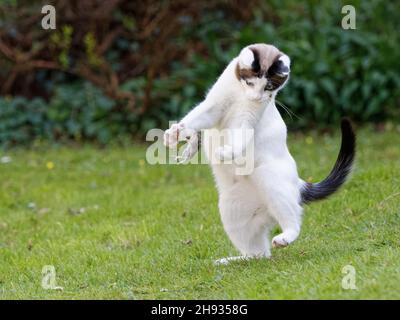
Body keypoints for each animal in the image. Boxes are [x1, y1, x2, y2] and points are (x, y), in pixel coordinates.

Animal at [164, 43, 354, 266]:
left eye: (269, 87)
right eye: (250, 82)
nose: (255, 97)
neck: (241, 94)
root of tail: (299, 184)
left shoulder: (246, 119)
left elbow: (238, 140)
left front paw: (224, 152)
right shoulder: (213, 107)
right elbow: (193, 119)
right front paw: (176, 135)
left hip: (270, 183)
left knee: (293, 220)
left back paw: (283, 238)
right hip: (231, 209)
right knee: (258, 253)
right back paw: (229, 261)